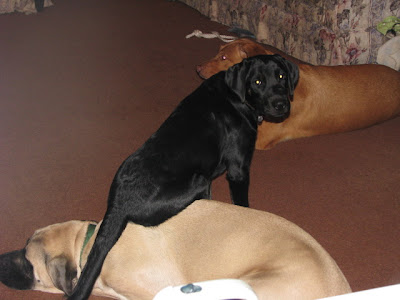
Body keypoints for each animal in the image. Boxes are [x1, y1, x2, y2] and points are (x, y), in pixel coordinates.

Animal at [67, 55, 296, 298]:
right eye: (257, 82)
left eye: (281, 76)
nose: (281, 104)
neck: (234, 95)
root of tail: (117, 203)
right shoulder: (239, 169)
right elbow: (243, 203)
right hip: (200, 181)